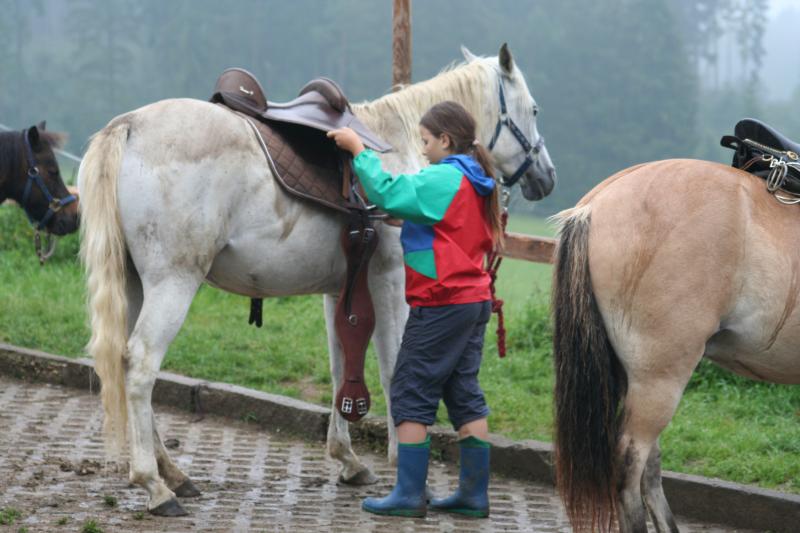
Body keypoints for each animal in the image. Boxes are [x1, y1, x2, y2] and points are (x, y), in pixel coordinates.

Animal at [78, 43, 557, 516]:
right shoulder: (389, 283)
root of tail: (129, 125)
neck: (398, 148)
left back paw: (174, 474)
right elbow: (392, 369)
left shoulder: (340, 291)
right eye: (534, 109)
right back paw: (155, 485)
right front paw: (405, 472)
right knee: (141, 365)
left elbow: (341, 364)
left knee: (126, 361)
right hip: (173, 284)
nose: (547, 177)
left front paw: (348, 460)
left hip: (136, 287)